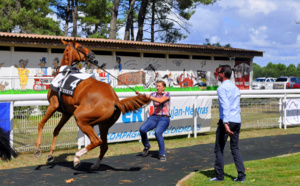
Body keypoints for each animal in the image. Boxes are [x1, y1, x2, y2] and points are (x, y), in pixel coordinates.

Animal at [34, 38, 150, 170]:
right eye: (80, 46)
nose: (92, 54)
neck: (64, 72)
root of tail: (115, 100)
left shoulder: (53, 105)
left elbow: (41, 124)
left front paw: (37, 149)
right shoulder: (67, 113)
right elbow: (56, 130)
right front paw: (50, 155)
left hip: (80, 117)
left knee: (96, 141)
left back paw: (77, 157)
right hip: (102, 124)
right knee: (103, 145)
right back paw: (95, 165)